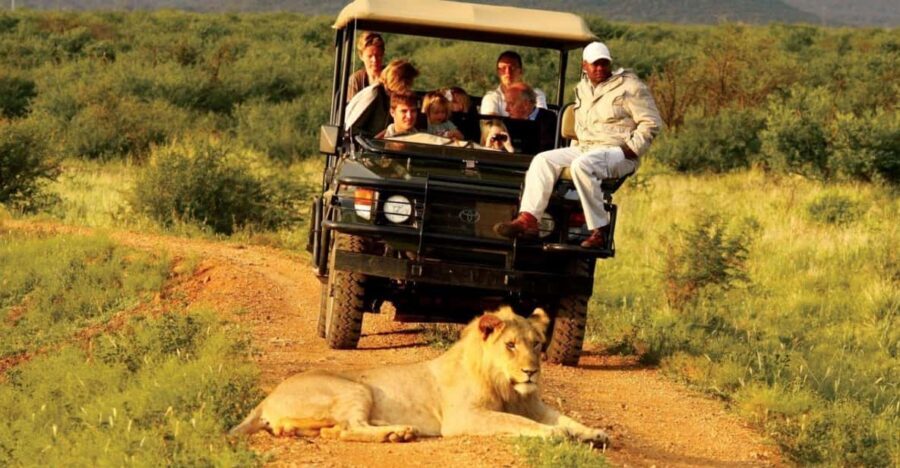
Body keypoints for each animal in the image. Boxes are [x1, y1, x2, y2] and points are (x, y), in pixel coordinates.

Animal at [229, 306, 609, 445]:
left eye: (537, 344)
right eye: (511, 345)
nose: (532, 371)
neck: (508, 387)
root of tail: (266, 397)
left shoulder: (534, 405)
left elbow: (566, 418)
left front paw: (594, 432)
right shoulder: (464, 417)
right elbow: (520, 423)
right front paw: (556, 434)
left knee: (335, 430)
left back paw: (397, 431)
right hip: (355, 390)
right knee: (350, 428)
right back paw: (397, 433)